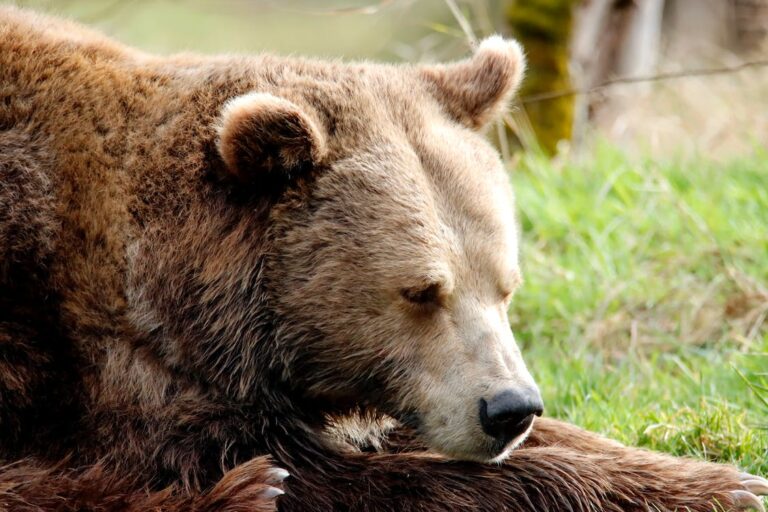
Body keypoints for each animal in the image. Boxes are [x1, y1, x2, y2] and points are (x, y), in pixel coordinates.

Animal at [0, 6, 766, 512]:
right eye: (422, 290)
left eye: (506, 285)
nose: (508, 408)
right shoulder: (121, 375)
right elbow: (339, 473)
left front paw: (719, 481)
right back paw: (242, 493)